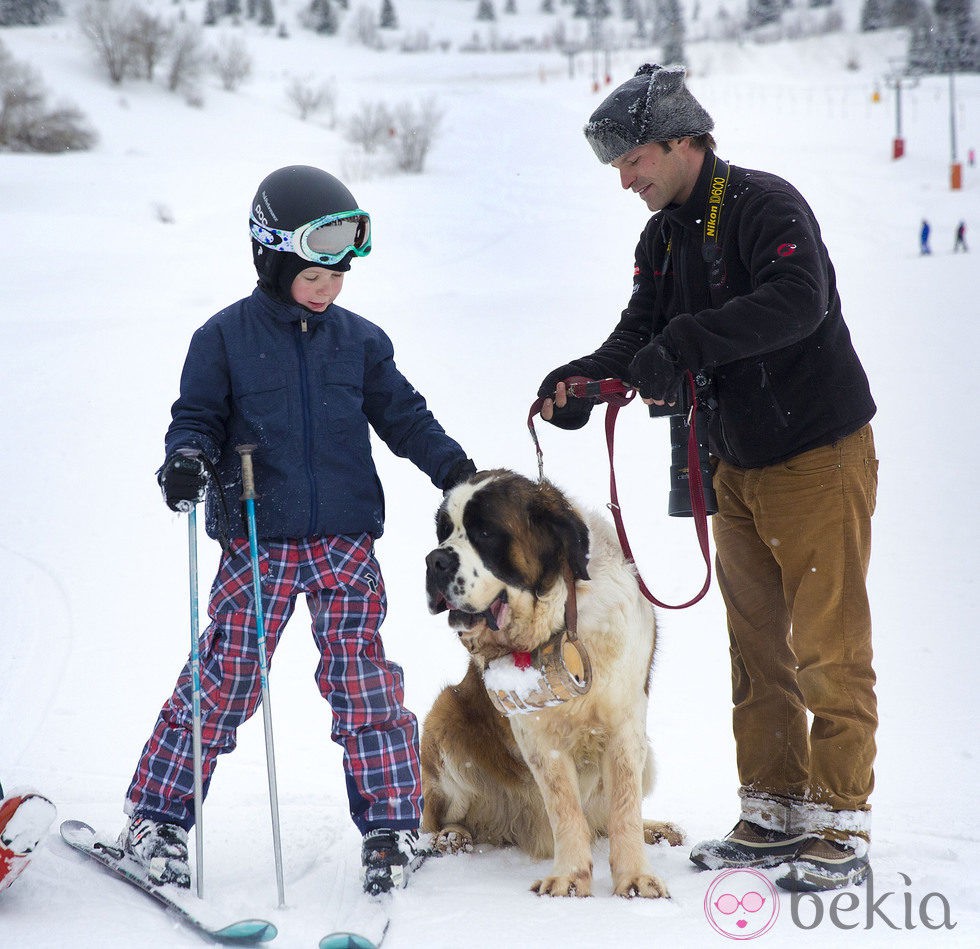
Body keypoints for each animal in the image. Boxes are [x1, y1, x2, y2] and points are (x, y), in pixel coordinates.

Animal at [422, 466, 680, 896]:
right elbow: (564, 808)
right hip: (443, 714)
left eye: (485, 532)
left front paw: (635, 877)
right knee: (436, 817)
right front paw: (570, 880)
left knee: (605, 819)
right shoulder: (539, 736)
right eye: (443, 532)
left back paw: (656, 829)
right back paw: (452, 836)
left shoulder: (626, 725)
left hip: (648, 756)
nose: (434, 559)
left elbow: (624, 805)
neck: (560, 616)